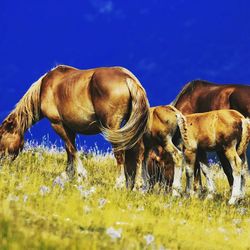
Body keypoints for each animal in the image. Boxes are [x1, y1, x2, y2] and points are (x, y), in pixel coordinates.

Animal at [0, 64, 149, 188]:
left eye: (1, 138)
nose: (2, 164)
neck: (45, 86)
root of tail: (127, 78)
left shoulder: (57, 124)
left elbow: (72, 149)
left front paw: (79, 174)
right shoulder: (69, 127)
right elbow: (69, 151)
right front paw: (68, 175)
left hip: (113, 126)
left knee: (119, 151)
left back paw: (119, 183)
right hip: (133, 127)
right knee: (140, 151)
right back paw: (138, 185)